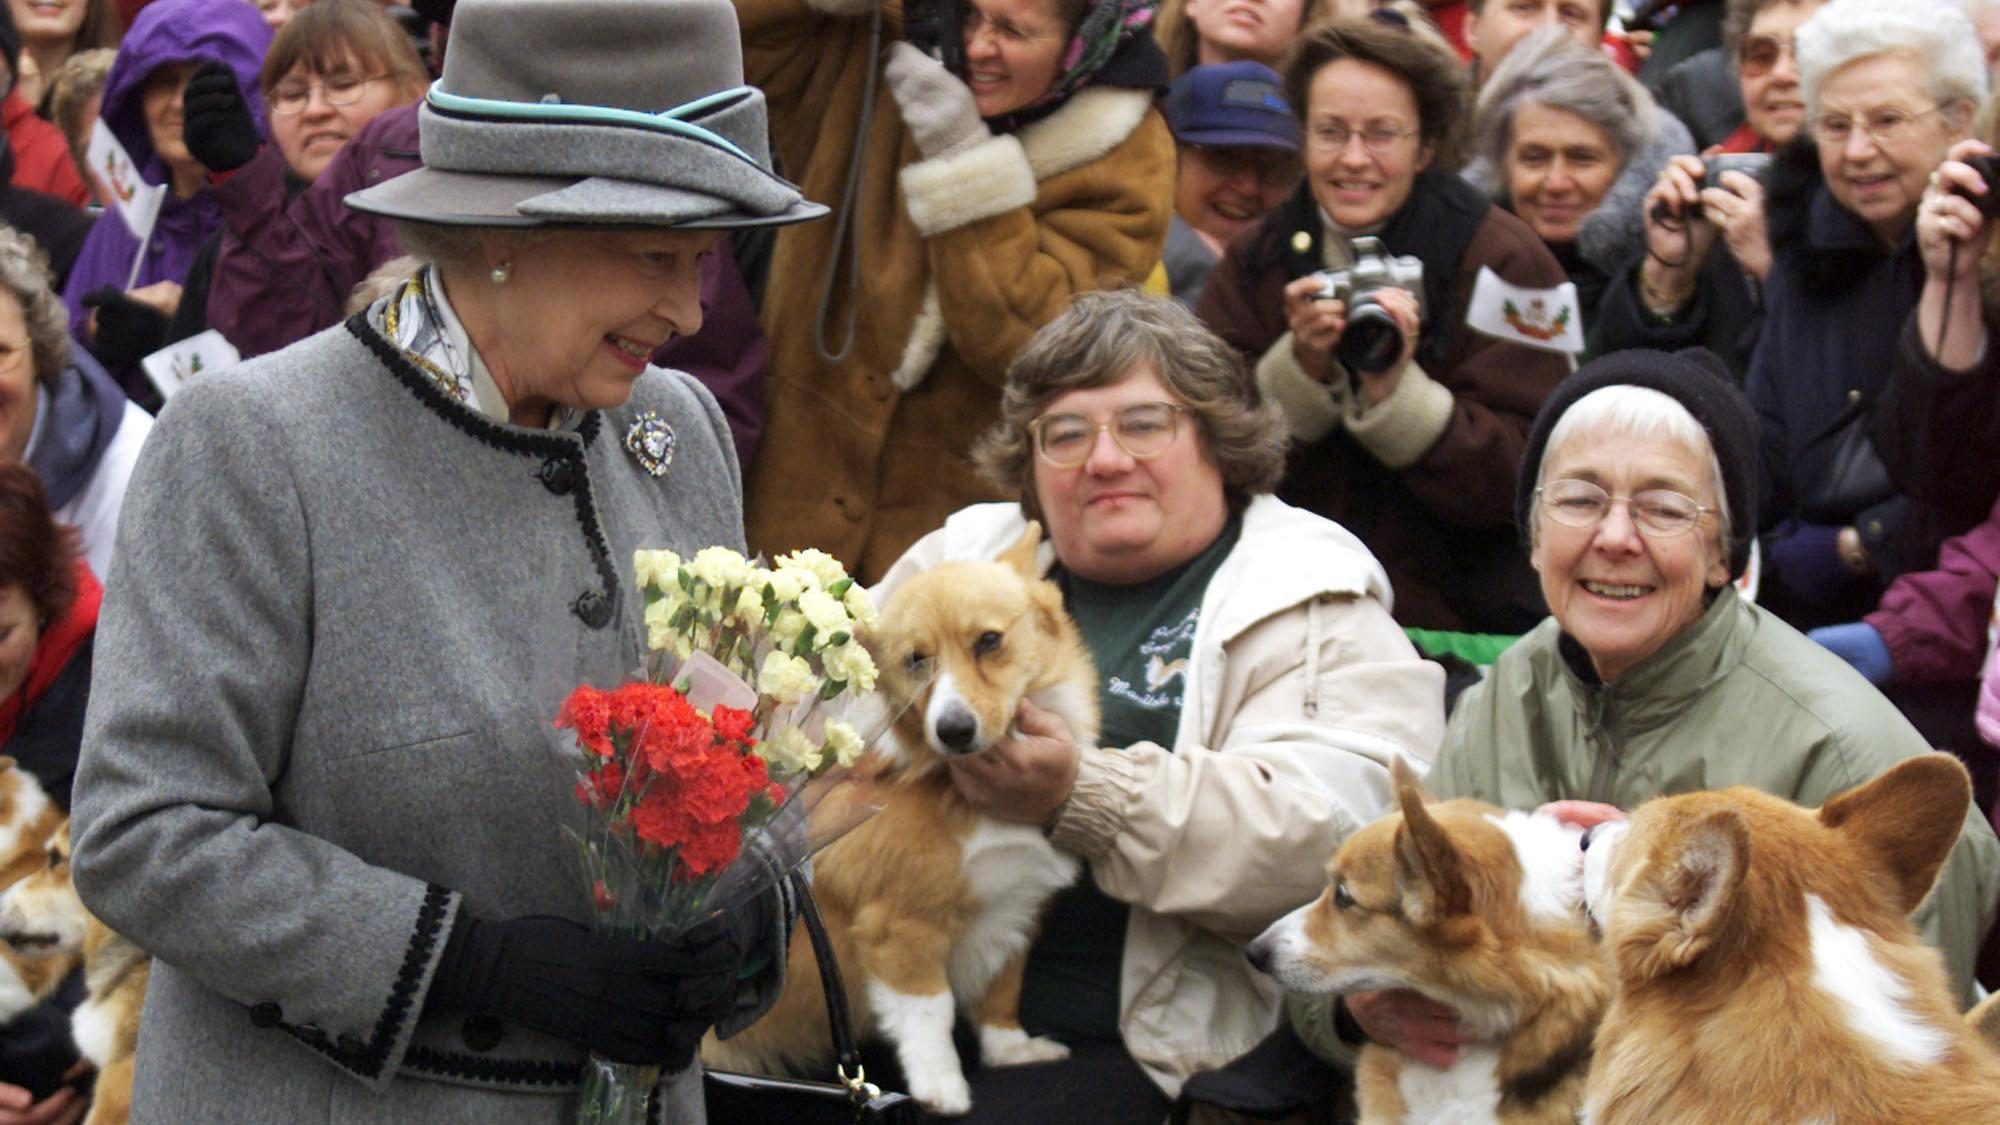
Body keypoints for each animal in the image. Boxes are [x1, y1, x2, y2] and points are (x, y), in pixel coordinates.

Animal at [712, 520, 1104, 1104]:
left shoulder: (1014, 913)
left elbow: (1000, 992)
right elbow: (930, 1014)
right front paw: (942, 1090)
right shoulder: (902, 927)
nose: (954, 730)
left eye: (989, 641)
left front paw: (1012, 1051)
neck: (957, 787)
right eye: (915, 660)